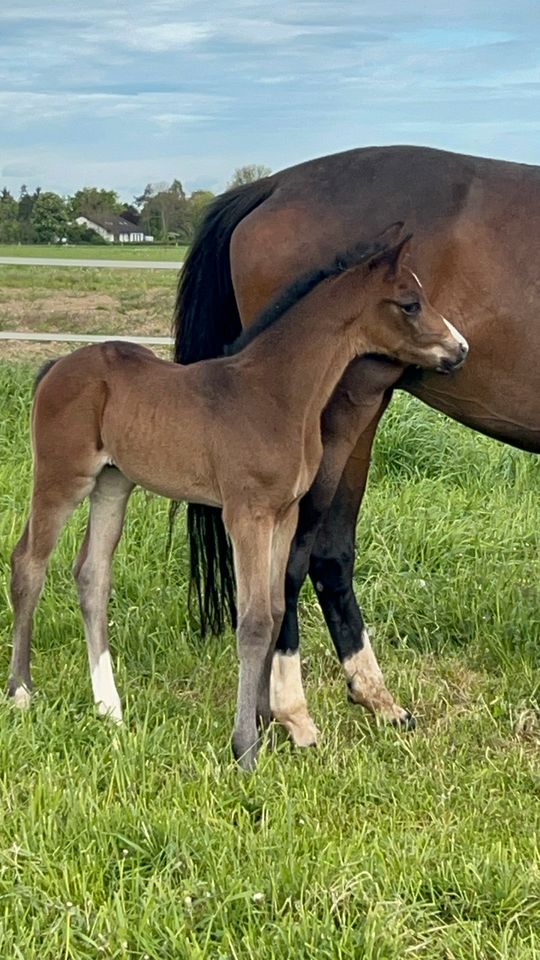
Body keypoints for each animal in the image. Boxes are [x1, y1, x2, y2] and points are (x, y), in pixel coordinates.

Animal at [8, 227, 468, 772]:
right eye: (410, 303)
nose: (460, 348)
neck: (275, 394)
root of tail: (57, 365)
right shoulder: (247, 515)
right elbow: (252, 622)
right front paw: (246, 747)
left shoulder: (284, 515)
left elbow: (275, 609)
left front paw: (270, 721)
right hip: (63, 477)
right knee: (29, 564)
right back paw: (21, 692)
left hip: (113, 485)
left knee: (92, 577)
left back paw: (110, 707)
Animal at [176, 144, 540, 744]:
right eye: (411, 302)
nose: (459, 347)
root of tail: (273, 186)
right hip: (344, 416)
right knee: (298, 555)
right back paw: (295, 711)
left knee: (325, 556)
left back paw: (372, 698)